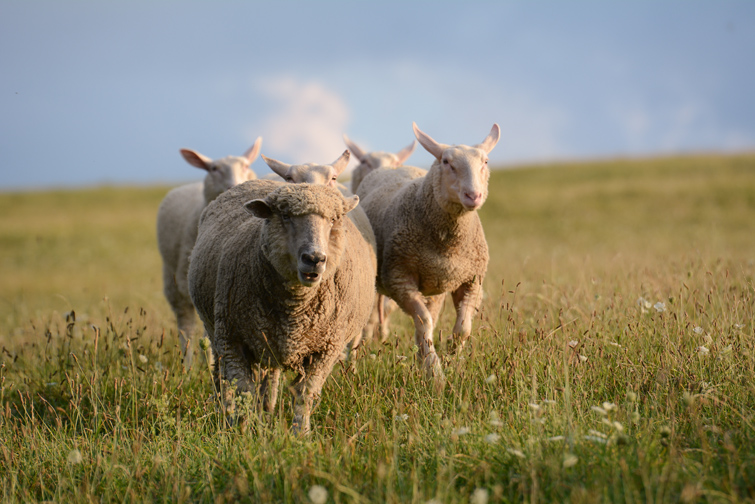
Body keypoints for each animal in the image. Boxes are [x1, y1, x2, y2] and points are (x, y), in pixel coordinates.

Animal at [155, 136, 262, 368]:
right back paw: (187, 365)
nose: (235, 185)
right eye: (214, 169)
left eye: (246, 166)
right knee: (185, 326)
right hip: (173, 281)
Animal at [189, 180, 378, 434]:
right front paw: (242, 432)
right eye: (286, 216)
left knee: (269, 380)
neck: (295, 308)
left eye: (333, 219)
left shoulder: (327, 348)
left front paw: (301, 433)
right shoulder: (232, 339)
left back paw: (267, 413)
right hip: (217, 331)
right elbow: (243, 390)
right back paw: (225, 414)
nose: (314, 259)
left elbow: (304, 393)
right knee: (221, 378)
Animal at [356, 123, 502, 390]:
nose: (473, 196)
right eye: (446, 162)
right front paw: (435, 373)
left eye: (485, 161)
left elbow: (463, 329)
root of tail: (392, 167)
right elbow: (424, 321)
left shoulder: (472, 280)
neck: (449, 245)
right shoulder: (399, 279)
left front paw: (452, 358)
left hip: (435, 286)